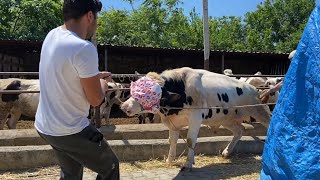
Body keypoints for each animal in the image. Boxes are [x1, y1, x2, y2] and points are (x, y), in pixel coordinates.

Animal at [121, 67, 272, 170]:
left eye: (150, 94)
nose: (124, 106)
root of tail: (253, 88)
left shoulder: (195, 118)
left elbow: (190, 140)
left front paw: (188, 163)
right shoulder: (173, 123)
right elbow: (172, 141)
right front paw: (169, 160)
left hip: (259, 111)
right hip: (226, 119)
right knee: (239, 130)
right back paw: (226, 152)